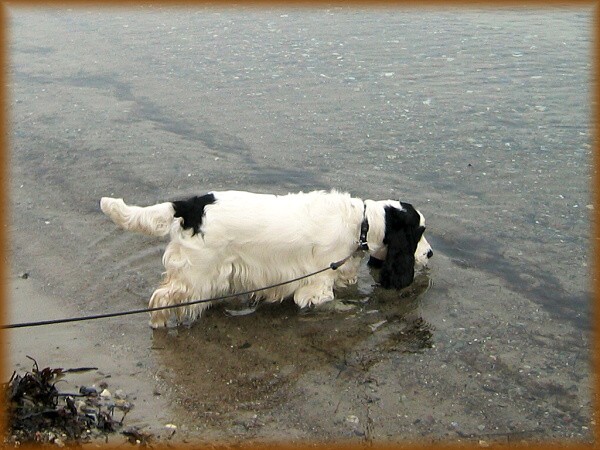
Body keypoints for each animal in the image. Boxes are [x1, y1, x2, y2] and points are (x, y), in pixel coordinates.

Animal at [101, 190, 434, 326]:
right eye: (419, 232)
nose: (430, 253)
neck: (362, 223)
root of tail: (190, 206)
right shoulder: (315, 286)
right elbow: (328, 302)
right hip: (196, 274)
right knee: (161, 298)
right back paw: (159, 324)